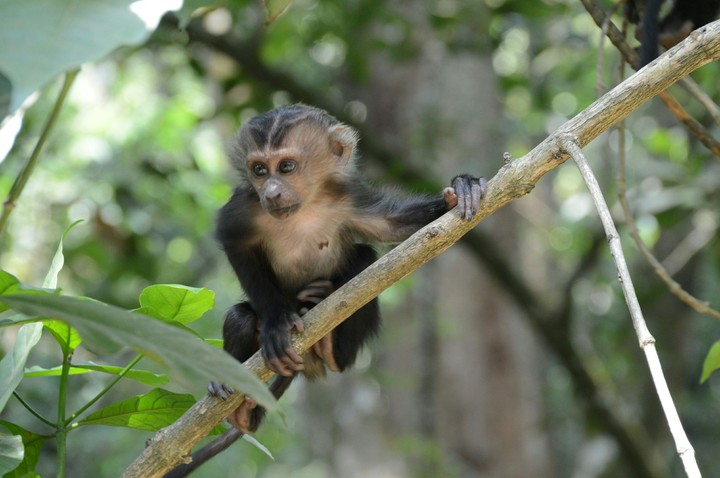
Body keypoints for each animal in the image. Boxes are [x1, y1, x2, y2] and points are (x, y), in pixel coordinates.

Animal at [205, 104, 486, 435]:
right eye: (259, 170)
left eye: (286, 167)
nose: (271, 193)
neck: (304, 208)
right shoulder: (246, 204)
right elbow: (233, 240)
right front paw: (277, 321)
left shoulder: (347, 196)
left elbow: (393, 225)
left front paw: (462, 190)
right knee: (241, 319)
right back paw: (243, 410)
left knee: (363, 256)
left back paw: (331, 347)